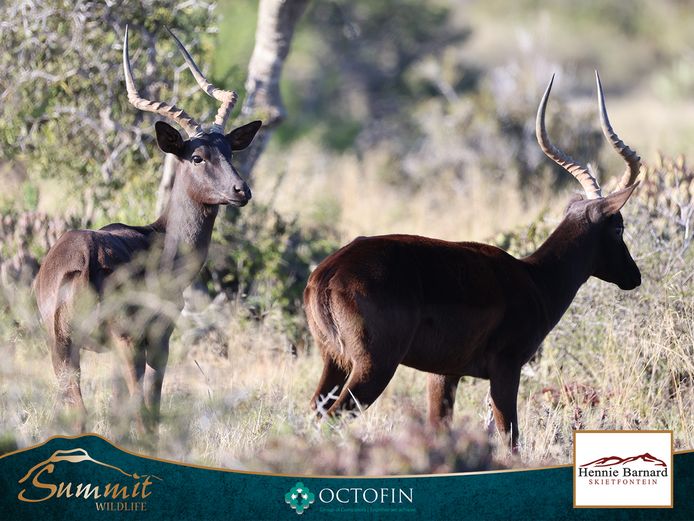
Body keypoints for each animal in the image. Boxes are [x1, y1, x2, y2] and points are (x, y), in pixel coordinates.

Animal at [34, 27, 261, 432]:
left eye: (229, 151)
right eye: (197, 156)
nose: (241, 191)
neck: (161, 239)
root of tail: (82, 256)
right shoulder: (158, 339)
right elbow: (151, 405)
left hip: (61, 348)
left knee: (78, 411)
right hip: (122, 344)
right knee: (137, 410)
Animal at [304, 72, 642, 451]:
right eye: (618, 226)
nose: (634, 276)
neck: (535, 278)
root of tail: (326, 274)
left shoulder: (443, 373)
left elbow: (439, 426)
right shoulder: (506, 369)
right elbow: (510, 437)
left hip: (334, 363)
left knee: (313, 414)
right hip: (373, 368)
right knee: (331, 418)